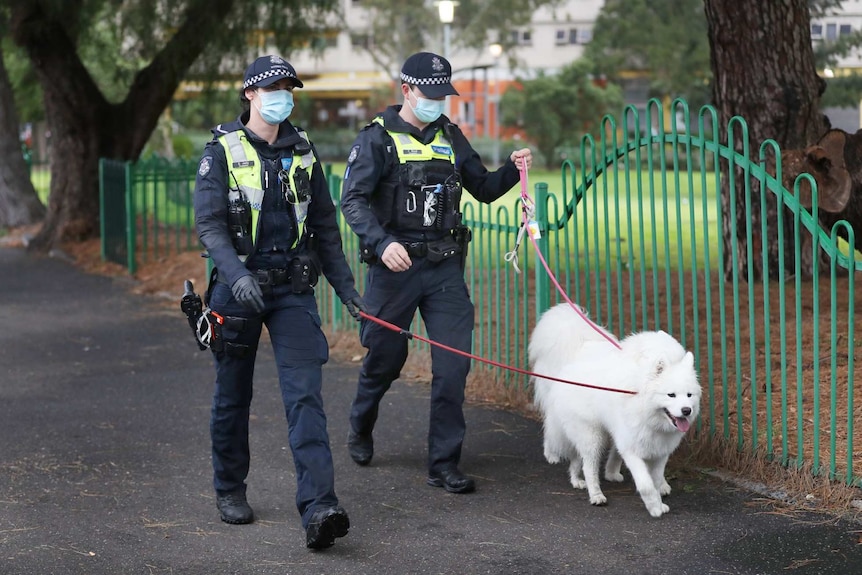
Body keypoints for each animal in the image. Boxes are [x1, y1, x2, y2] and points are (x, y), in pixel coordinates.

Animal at [528, 304, 704, 520]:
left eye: (689, 395)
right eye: (671, 395)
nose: (686, 410)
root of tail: (579, 351)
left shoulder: (659, 452)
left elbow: (654, 480)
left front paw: (659, 497)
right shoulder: (632, 449)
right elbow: (646, 484)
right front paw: (654, 508)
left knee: (579, 458)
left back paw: (578, 479)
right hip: (592, 436)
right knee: (587, 465)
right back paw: (595, 494)